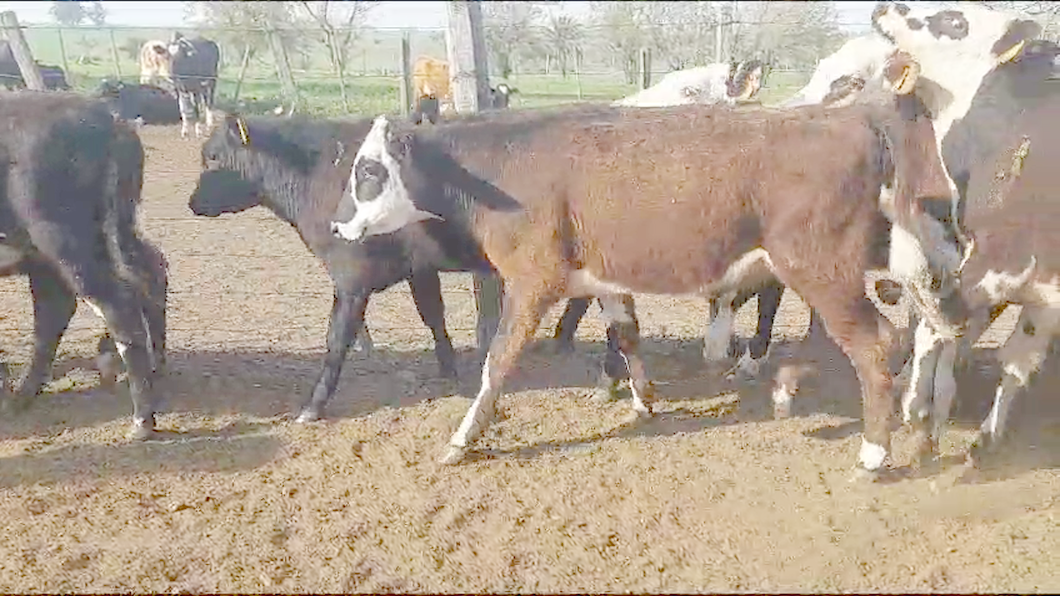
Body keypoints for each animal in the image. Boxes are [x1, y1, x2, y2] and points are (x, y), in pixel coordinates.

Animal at [330, 61, 962, 477]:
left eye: (369, 171)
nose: (338, 226)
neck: (507, 166)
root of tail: (856, 118)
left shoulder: (532, 282)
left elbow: (498, 361)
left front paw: (462, 440)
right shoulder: (603, 280)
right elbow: (627, 336)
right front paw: (642, 401)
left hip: (821, 269)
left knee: (878, 345)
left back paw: (873, 454)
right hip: (896, 256)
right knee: (927, 329)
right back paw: (911, 422)